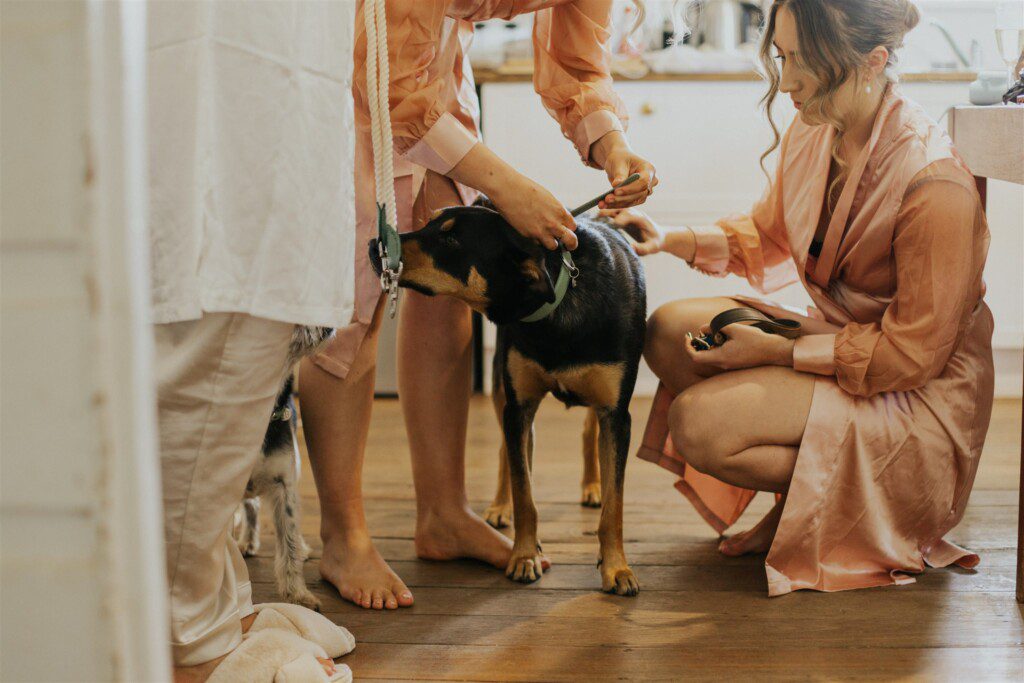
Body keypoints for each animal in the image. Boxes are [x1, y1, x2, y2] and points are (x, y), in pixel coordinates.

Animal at [372, 201, 647, 593]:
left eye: (452, 239)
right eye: (429, 223)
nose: (373, 244)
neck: (559, 304)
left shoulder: (617, 414)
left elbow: (615, 506)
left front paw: (617, 568)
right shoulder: (519, 407)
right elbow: (524, 494)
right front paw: (524, 556)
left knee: (587, 431)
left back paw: (592, 486)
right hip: (504, 387)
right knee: (508, 451)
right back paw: (500, 507)